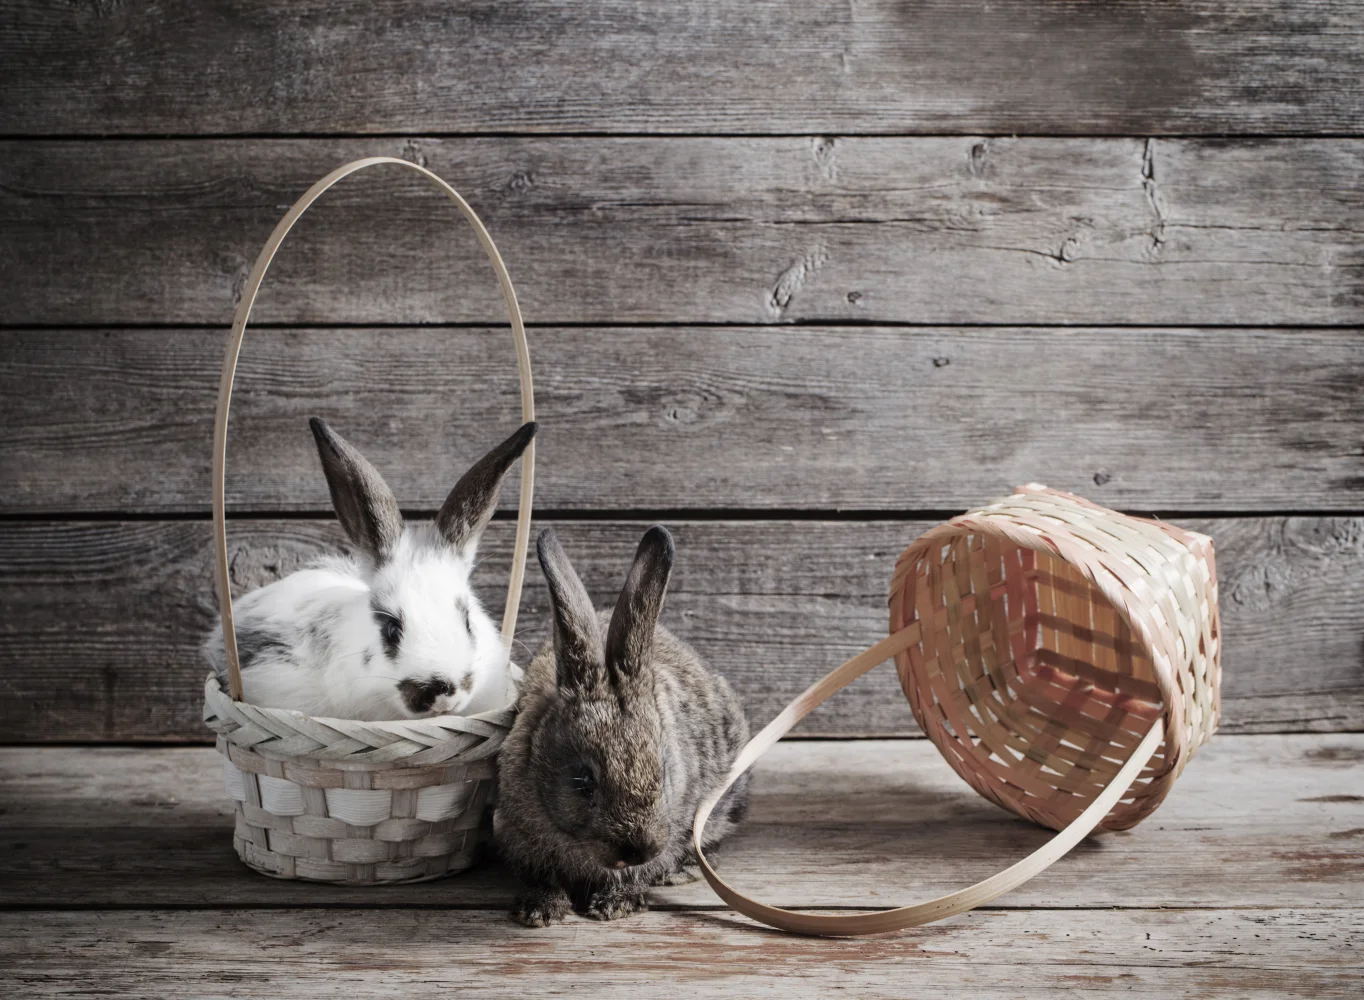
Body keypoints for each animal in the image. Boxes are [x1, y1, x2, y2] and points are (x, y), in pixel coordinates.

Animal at [495, 525, 751, 926]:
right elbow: (541, 875)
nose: (638, 850)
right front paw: (539, 910)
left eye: (663, 773)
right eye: (583, 781)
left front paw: (616, 904)